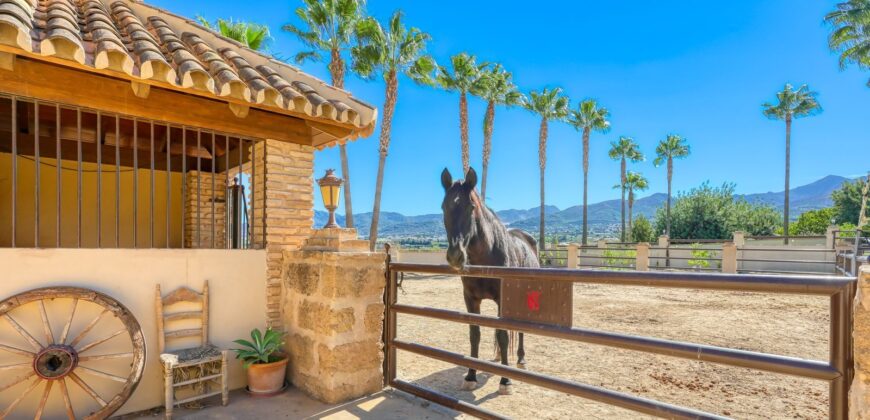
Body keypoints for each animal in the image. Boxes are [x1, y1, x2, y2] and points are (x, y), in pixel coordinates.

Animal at [440, 167, 540, 395]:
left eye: (471, 207)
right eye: (443, 207)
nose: (455, 256)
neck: (486, 256)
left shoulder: (503, 298)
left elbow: (503, 336)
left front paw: (505, 381)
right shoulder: (470, 299)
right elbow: (475, 334)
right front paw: (471, 376)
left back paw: (521, 359)